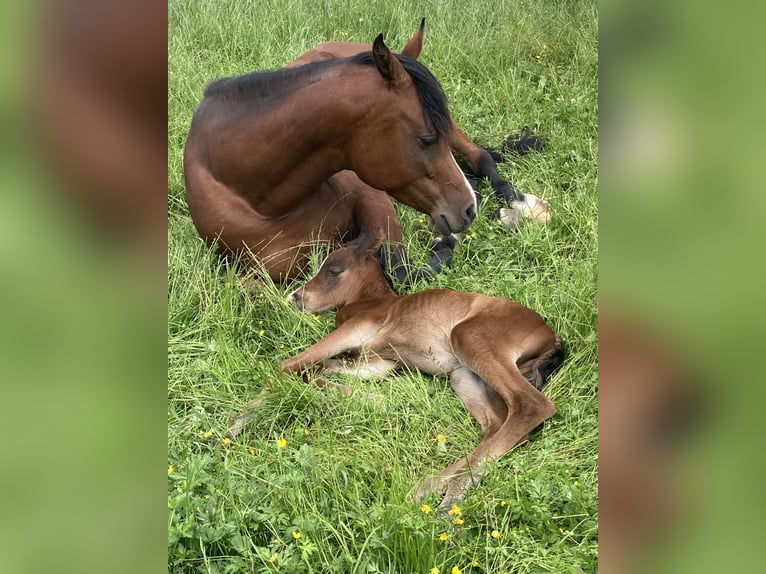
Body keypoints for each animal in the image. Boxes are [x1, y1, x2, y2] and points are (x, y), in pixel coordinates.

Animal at [225, 230, 563, 508]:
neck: (370, 301)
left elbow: (290, 364)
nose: (295, 297)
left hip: (469, 336)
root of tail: (552, 338)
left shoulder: (358, 327)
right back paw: (440, 490)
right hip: (463, 373)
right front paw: (367, 400)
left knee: (530, 405)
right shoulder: (381, 361)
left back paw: (443, 496)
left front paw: (235, 424)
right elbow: (321, 369)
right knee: (498, 425)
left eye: (334, 269)